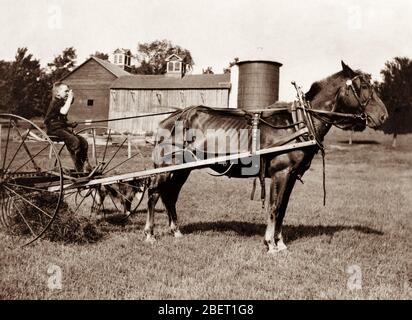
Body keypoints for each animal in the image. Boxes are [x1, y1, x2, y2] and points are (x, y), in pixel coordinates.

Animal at [144, 62, 386, 252]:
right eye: (363, 86)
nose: (383, 116)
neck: (298, 123)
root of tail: (170, 118)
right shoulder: (281, 173)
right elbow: (274, 207)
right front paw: (270, 244)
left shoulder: (291, 176)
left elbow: (283, 208)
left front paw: (280, 242)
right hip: (167, 166)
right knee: (154, 194)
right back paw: (150, 234)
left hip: (182, 169)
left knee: (170, 196)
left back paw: (176, 231)